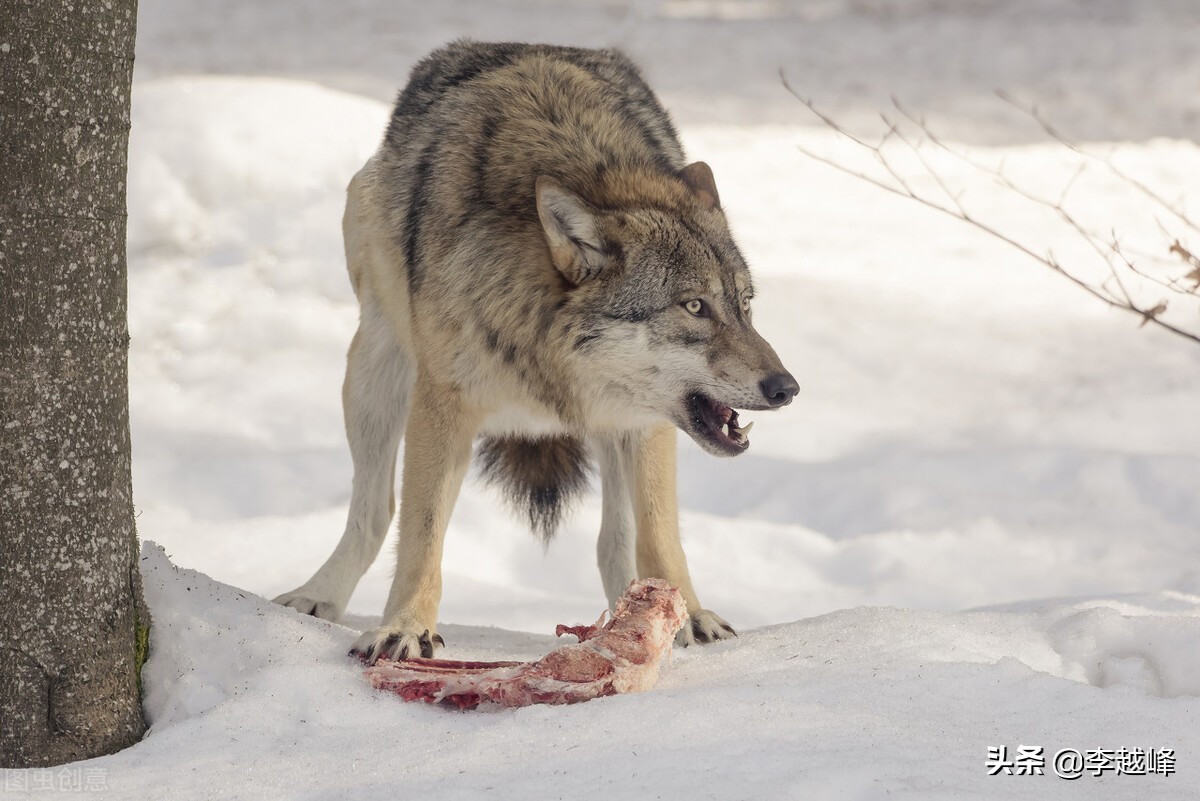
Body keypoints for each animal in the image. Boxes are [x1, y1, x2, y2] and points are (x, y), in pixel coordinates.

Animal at [272, 38, 796, 661]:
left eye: (744, 305)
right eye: (694, 307)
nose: (787, 388)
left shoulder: (647, 424)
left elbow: (661, 535)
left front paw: (689, 618)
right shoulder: (442, 406)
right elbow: (422, 534)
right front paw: (405, 627)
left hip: (618, 429)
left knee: (614, 541)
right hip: (376, 368)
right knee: (376, 511)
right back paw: (317, 596)